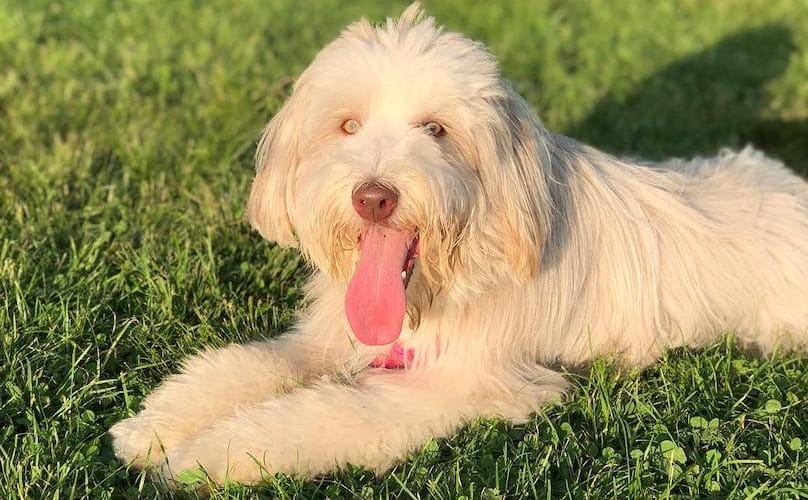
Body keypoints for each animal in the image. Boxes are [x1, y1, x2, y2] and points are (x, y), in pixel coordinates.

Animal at [109, 1, 808, 486]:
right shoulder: (328, 341)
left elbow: (323, 415)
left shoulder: (456, 386)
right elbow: (247, 365)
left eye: (437, 129)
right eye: (347, 125)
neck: (452, 277)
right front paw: (158, 426)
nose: (374, 197)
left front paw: (209, 455)